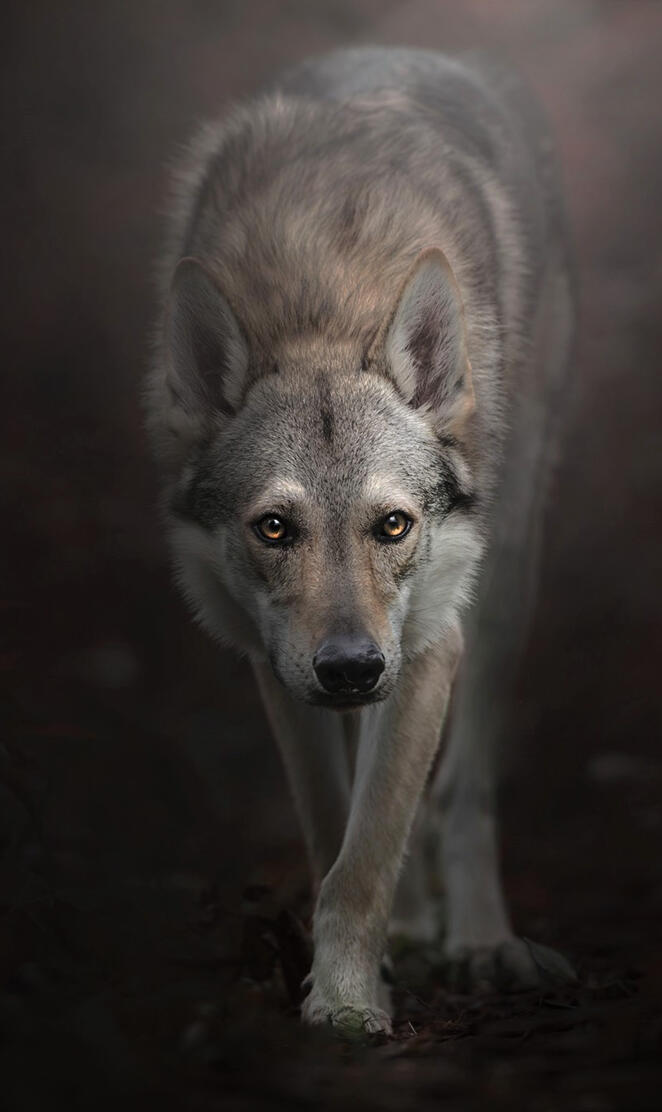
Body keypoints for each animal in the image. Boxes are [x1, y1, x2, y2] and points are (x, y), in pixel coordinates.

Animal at [145, 46, 576, 1037]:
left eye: (393, 524)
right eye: (274, 527)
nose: (349, 667)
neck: (324, 301)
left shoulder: (427, 645)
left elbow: (371, 847)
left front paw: (345, 1010)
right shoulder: (276, 665)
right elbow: (334, 832)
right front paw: (358, 982)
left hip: (503, 589)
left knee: (463, 793)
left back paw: (480, 938)